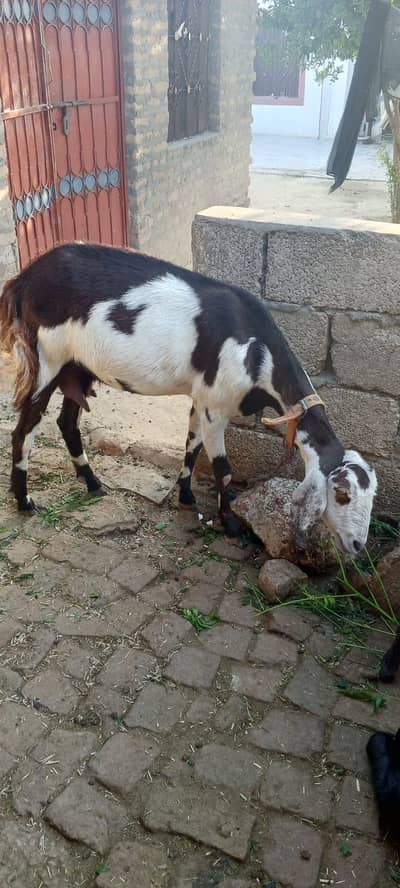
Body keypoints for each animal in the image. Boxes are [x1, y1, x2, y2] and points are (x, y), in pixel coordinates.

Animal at [0, 242, 376, 548]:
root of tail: (24, 279)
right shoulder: (216, 406)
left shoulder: (202, 398)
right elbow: (223, 469)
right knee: (25, 428)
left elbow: (191, 447)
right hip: (47, 359)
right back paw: (24, 501)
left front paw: (186, 496)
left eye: (372, 494)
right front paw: (231, 525)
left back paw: (93, 483)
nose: (358, 546)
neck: (258, 350)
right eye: (342, 495)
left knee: (67, 422)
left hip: (77, 367)